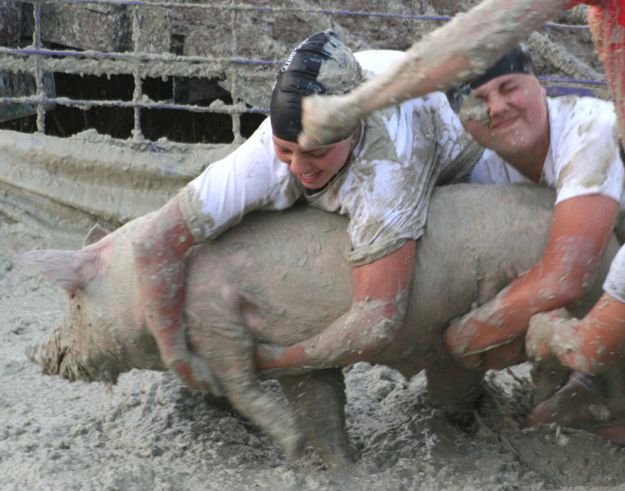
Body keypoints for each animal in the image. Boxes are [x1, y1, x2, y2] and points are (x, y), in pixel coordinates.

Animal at [25, 184, 620, 466]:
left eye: (73, 299)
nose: (40, 354)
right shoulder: (304, 362)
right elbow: (321, 405)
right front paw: (337, 463)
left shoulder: (218, 314)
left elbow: (242, 379)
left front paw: (288, 447)